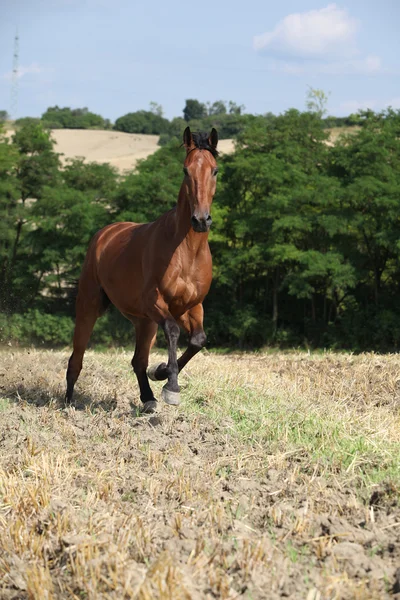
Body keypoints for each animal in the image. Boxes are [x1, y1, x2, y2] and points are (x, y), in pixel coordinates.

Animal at [65, 127, 219, 412]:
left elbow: (198, 340)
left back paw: (148, 398)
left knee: (138, 360)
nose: (201, 220)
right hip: (90, 306)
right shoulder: (155, 302)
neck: (186, 250)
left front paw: (161, 373)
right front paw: (171, 387)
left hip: (144, 322)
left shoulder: (191, 306)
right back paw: (68, 403)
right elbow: (173, 331)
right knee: (76, 357)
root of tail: (105, 234)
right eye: (186, 170)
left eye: (214, 170)